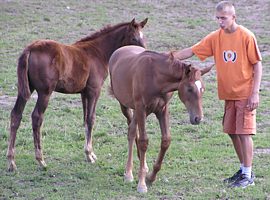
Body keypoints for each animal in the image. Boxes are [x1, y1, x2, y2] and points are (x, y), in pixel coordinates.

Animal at [6, 19, 148, 172]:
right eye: (133, 38)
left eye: (143, 36)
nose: (144, 53)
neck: (98, 52)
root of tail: (30, 49)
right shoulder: (94, 91)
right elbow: (91, 119)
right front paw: (89, 155)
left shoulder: (84, 93)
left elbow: (85, 120)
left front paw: (90, 153)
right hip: (45, 92)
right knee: (37, 117)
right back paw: (40, 160)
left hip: (25, 90)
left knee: (16, 115)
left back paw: (11, 161)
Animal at [108, 45, 212, 192]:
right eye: (190, 89)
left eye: (203, 89)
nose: (198, 118)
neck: (156, 77)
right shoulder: (141, 108)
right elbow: (143, 141)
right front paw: (142, 184)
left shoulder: (162, 109)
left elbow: (166, 140)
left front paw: (151, 177)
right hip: (127, 106)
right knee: (132, 132)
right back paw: (128, 173)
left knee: (132, 130)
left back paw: (141, 168)